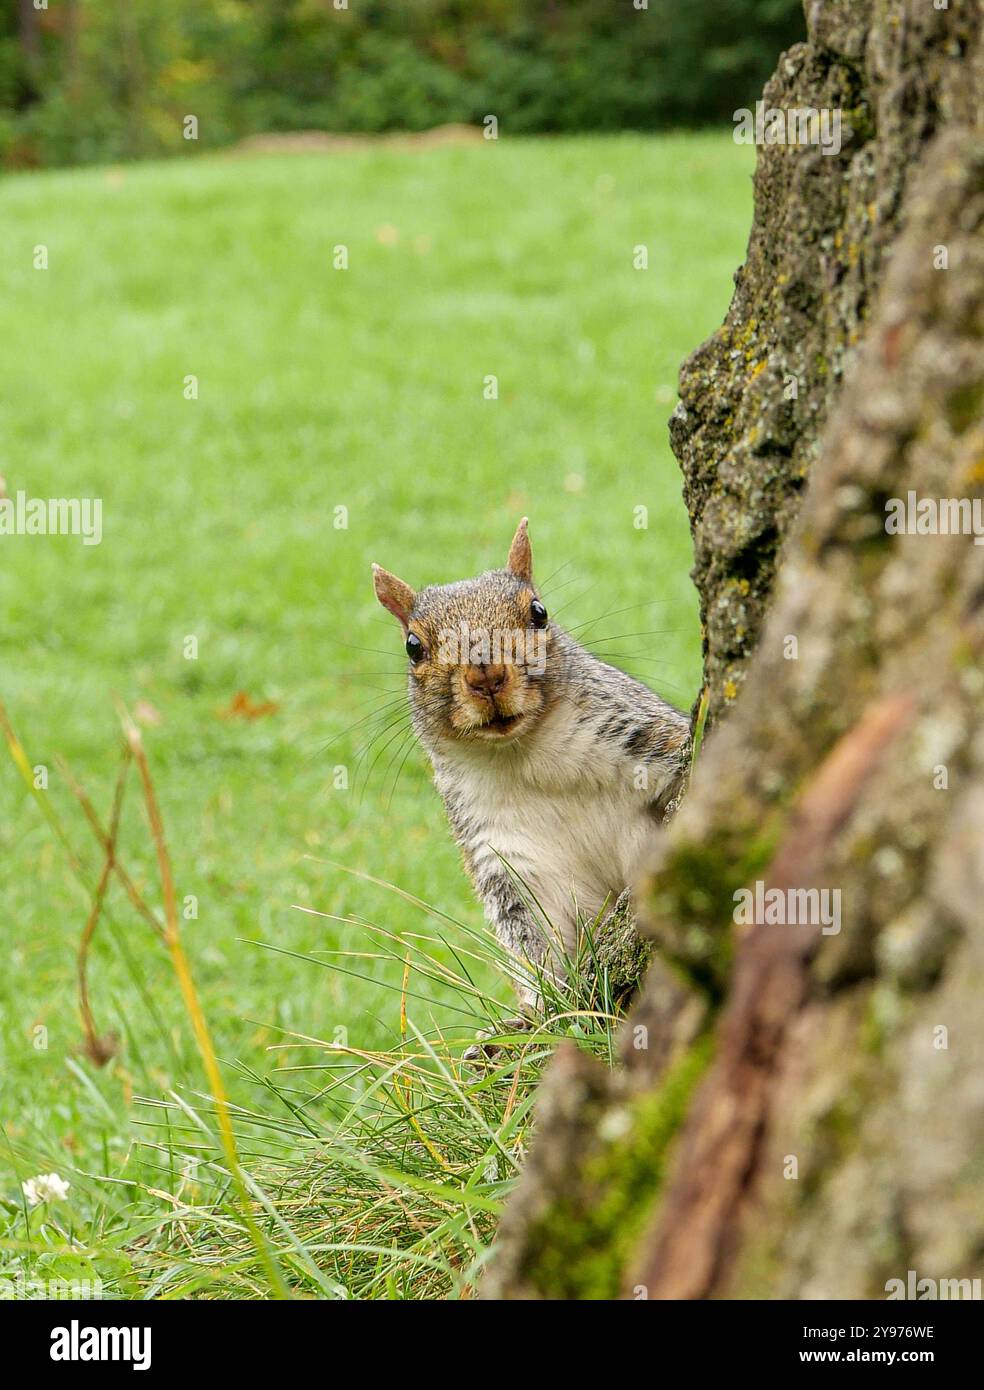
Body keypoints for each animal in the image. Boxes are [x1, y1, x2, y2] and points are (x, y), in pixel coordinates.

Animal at [372, 518, 690, 1038]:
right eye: (413, 646)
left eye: (539, 612)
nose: (485, 674)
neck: (524, 757)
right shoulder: (506, 856)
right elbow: (536, 942)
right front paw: (537, 1016)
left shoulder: (651, 741)